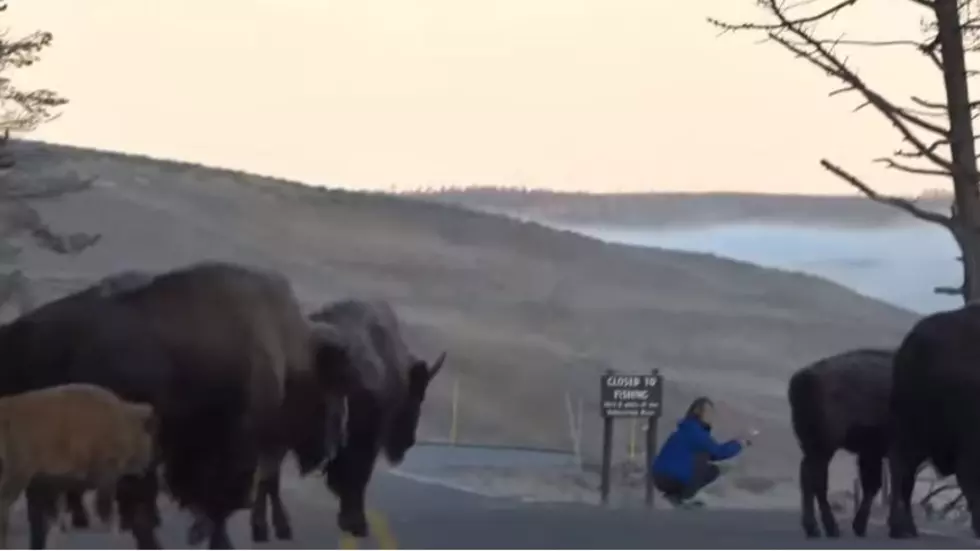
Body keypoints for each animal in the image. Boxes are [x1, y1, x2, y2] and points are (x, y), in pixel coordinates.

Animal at [0, 384, 157, 548]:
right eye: (148, 436)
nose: (147, 465)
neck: (123, 423)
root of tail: (8, 407)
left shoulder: (59, 481)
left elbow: (61, 506)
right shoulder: (105, 473)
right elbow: (104, 503)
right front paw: (113, 529)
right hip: (18, 472)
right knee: (5, 499)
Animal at [788, 350, 896, 540]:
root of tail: (803, 378)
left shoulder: (872, 452)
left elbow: (872, 485)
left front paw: (860, 527)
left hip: (813, 448)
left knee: (808, 477)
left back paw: (815, 528)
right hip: (824, 448)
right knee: (817, 481)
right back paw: (828, 528)